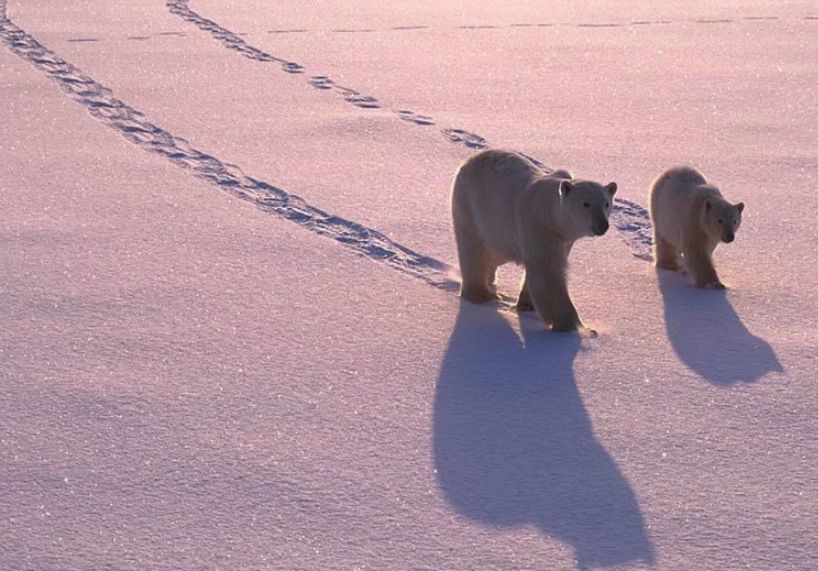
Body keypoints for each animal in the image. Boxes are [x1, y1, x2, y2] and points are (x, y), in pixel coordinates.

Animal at [450, 150, 616, 332]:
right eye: (586, 204)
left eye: (606, 203)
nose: (602, 225)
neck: (551, 214)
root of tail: (470, 159)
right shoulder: (540, 227)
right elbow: (547, 271)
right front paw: (570, 325)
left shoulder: (564, 239)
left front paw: (526, 305)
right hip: (470, 204)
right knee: (473, 249)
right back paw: (479, 294)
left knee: (496, 253)